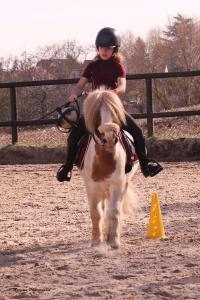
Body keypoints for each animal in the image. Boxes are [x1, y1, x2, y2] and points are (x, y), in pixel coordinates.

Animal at [80, 89, 138, 248]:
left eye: (115, 112)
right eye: (97, 114)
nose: (110, 138)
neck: (104, 160)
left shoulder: (117, 185)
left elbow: (114, 212)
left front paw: (113, 241)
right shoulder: (92, 187)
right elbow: (96, 213)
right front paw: (96, 241)